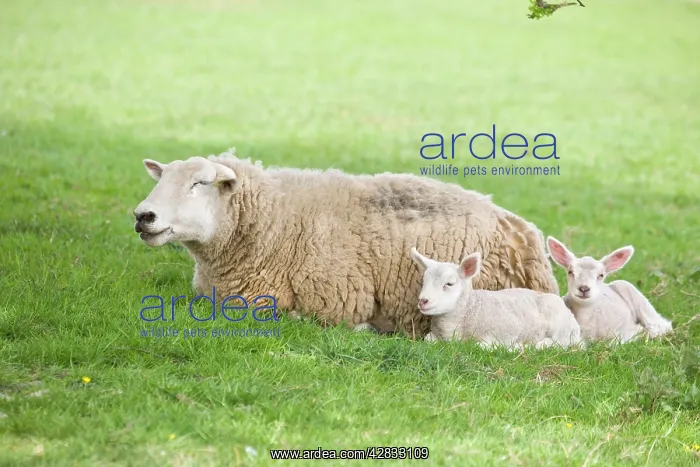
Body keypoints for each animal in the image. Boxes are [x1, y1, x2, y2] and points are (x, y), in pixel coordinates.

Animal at [132, 148, 560, 338]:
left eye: (199, 183)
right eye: (161, 178)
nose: (143, 216)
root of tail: (519, 227)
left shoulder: (334, 302)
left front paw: (364, 329)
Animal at [409, 247, 582, 349]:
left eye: (449, 284)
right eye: (423, 282)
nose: (423, 301)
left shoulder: (499, 334)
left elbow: (481, 346)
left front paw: (513, 347)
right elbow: (427, 339)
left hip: (562, 328)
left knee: (563, 342)